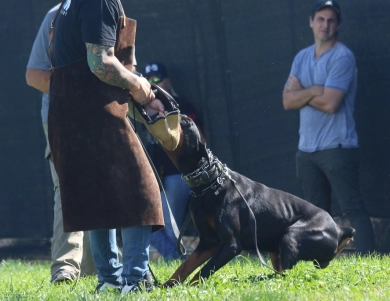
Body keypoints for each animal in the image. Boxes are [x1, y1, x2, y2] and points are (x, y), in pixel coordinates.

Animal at [160, 113, 354, 284]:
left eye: (186, 122)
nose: (168, 110)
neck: (210, 182)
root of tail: (338, 228)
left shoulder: (230, 245)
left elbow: (202, 273)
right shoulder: (208, 243)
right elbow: (184, 267)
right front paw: (166, 287)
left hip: (293, 235)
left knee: (285, 271)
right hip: (276, 247)